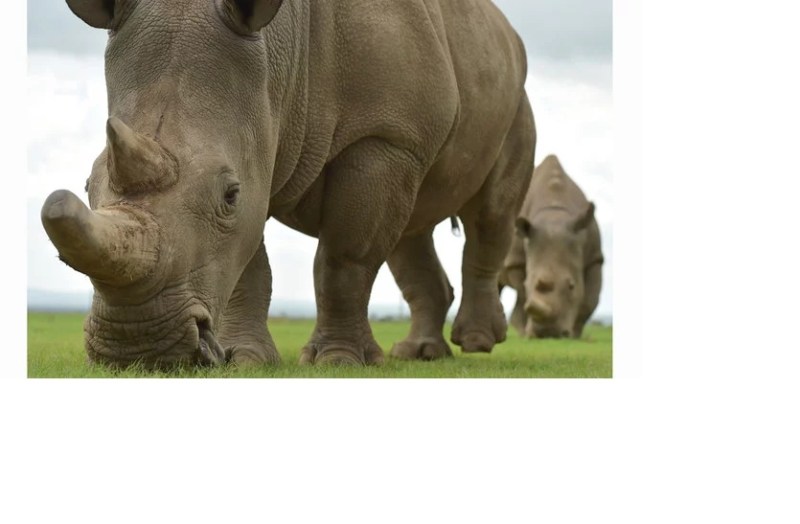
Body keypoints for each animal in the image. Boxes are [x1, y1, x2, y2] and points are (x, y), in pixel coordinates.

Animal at [41, 0, 535, 368]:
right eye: (88, 186)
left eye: (229, 194)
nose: (138, 347)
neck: (279, 54)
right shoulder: (259, 140)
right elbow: (247, 263)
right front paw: (244, 359)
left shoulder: (385, 134)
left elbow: (344, 259)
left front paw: (338, 361)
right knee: (410, 230)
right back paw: (420, 354)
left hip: (511, 100)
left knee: (491, 214)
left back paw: (476, 342)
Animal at [499, 155, 603, 339]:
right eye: (528, 283)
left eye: (572, 286)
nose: (547, 334)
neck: (554, 212)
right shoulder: (515, 261)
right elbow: (523, 294)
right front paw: (526, 334)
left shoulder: (595, 257)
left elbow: (590, 300)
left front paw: (575, 336)